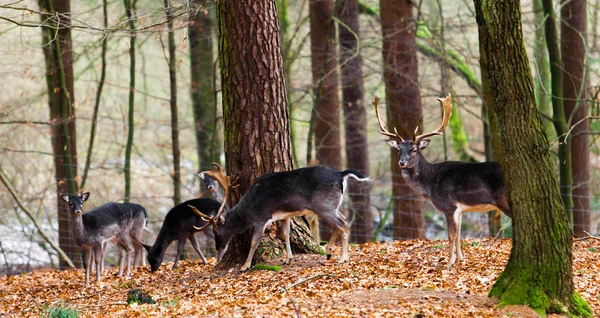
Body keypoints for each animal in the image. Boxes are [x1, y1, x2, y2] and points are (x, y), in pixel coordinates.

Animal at [188, 164, 370, 270]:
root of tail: (341, 175)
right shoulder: (285, 215)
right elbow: (286, 234)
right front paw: (288, 259)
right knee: (340, 223)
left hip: (324, 205)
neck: (247, 212)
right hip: (330, 206)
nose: (218, 247)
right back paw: (329, 252)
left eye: (216, 231)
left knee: (343, 224)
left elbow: (254, 242)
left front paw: (245, 266)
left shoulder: (260, 218)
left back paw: (343, 258)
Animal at [376, 94, 510, 266]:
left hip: (504, 200)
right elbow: (459, 234)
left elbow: (451, 236)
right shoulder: (460, 210)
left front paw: (449, 262)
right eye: (399, 149)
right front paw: (461, 259)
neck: (431, 184)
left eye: (414, 149)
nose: (402, 162)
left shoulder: (449, 206)